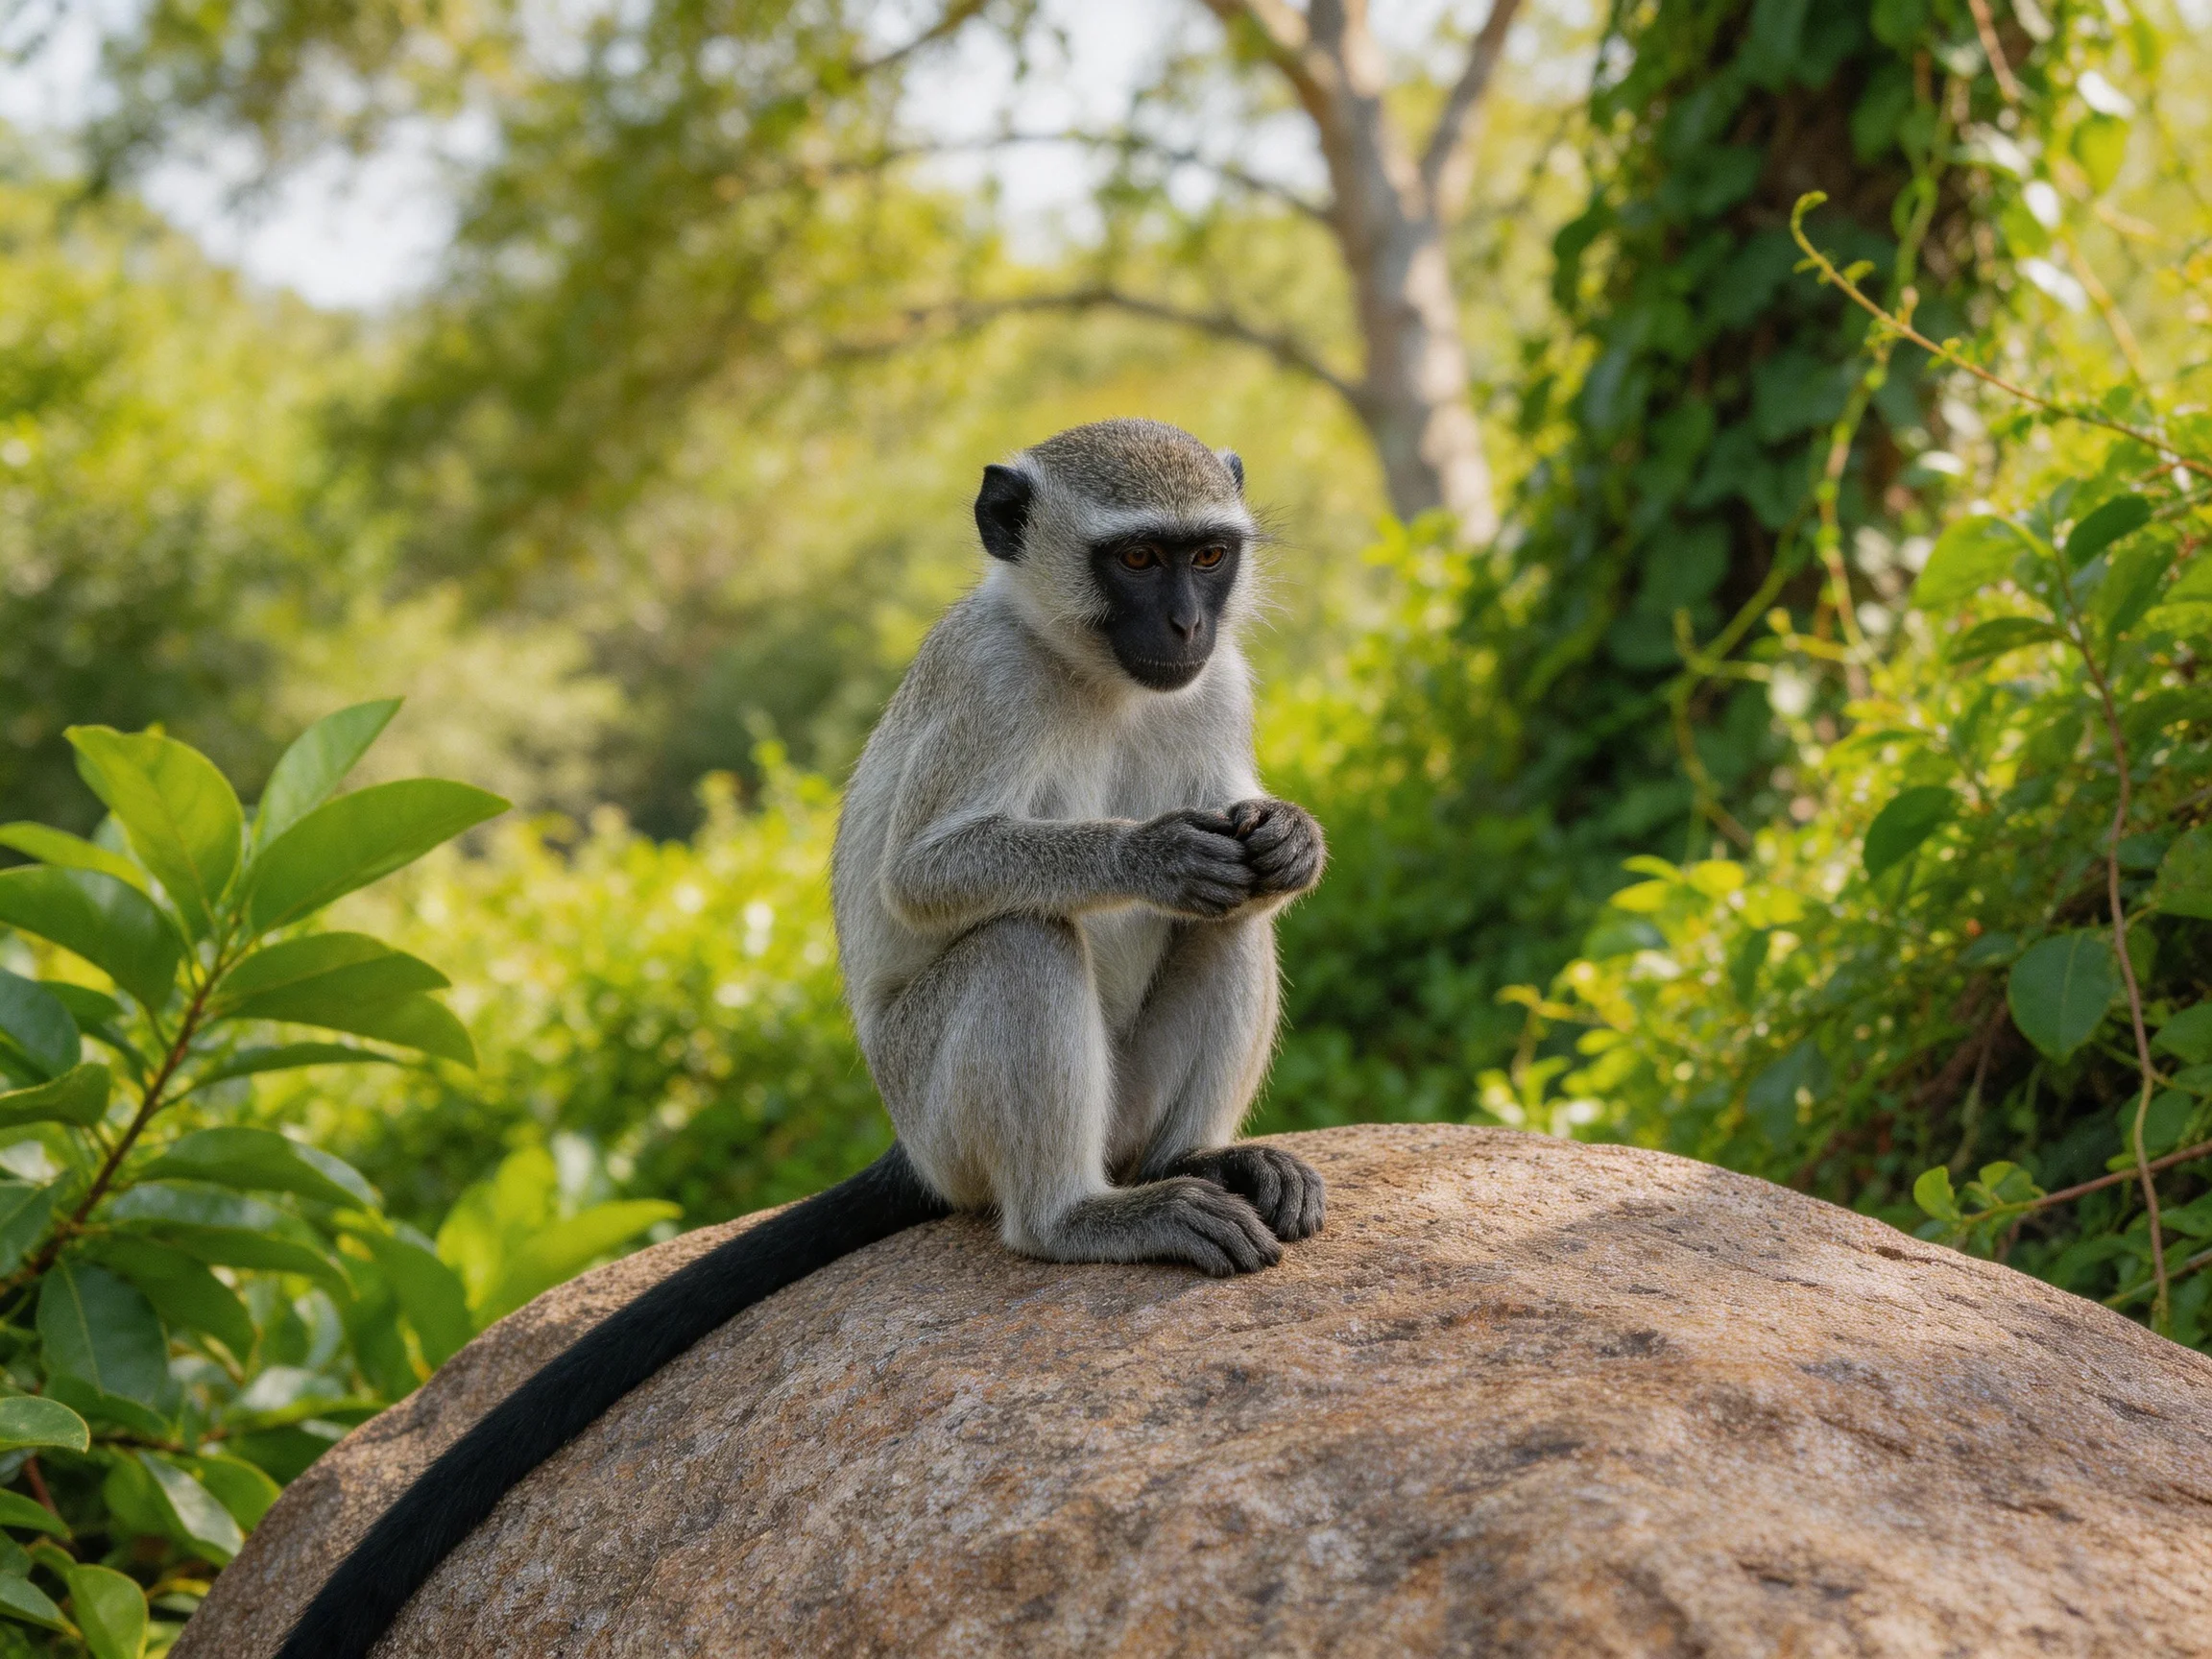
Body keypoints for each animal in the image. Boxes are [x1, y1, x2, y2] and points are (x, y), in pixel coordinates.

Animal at [270, 419, 1325, 1659]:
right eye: (1139, 561)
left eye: (1208, 556)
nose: (1188, 629)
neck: (1093, 674)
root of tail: (918, 1154)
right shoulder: (986, 682)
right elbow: (926, 880)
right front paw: (1148, 852)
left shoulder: (1222, 689)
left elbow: (1246, 846)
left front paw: (1290, 838)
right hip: (941, 1109)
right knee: (1021, 939)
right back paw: (1077, 1216)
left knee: (1231, 917)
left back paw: (1196, 1157)